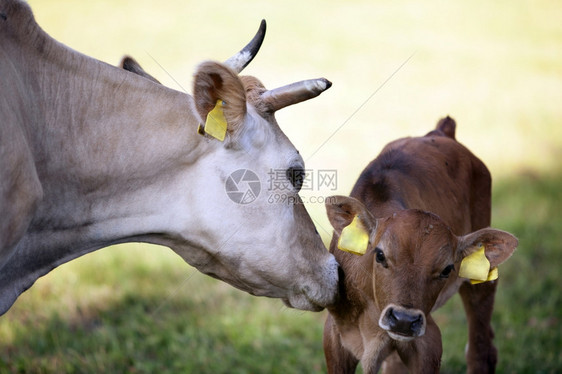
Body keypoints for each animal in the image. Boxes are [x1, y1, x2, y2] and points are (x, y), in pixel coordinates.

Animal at [322, 115, 516, 372]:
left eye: (447, 269)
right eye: (380, 255)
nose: (404, 320)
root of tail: (441, 132)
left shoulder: (429, 340)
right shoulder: (334, 334)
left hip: (481, 281)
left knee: (481, 349)